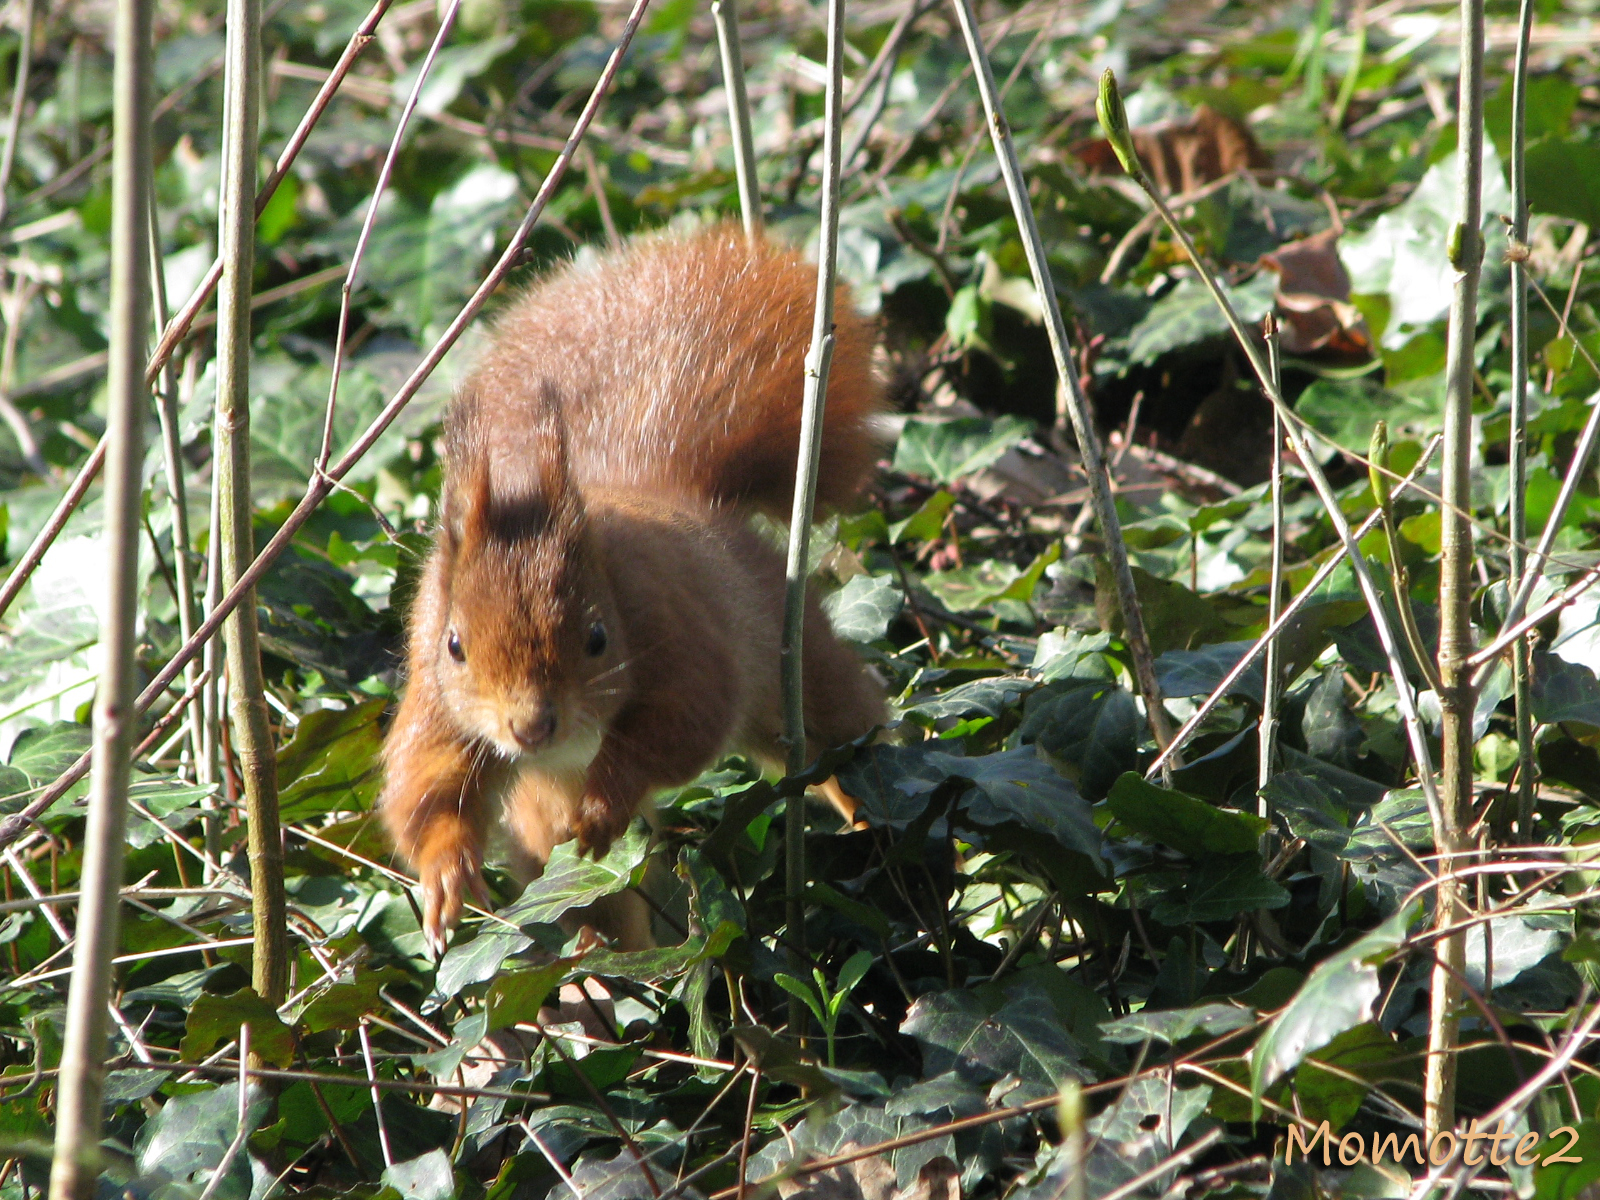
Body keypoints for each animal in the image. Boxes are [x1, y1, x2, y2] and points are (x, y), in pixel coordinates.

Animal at [382, 227, 896, 960]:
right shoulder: (436, 696)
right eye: (455, 646)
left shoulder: (676, 630)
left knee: (838, 737)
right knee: (598, 896)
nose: (531, 728)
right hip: (542, 818)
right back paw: (609, 963)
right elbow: (424, 788)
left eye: (598, 638)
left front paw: (604, 809)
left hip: (790, 667)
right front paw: (446, 880)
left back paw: (872, 814)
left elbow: (679, 727)